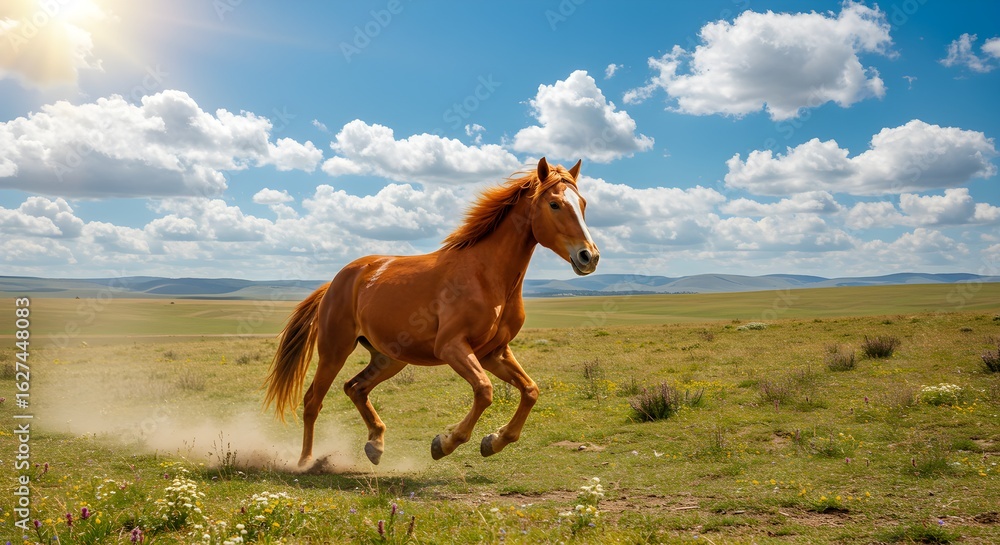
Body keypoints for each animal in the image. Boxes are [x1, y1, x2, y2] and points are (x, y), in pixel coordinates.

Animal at [263, 157, 600, 467]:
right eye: (554, 204)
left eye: (583, 203)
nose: (589, 256)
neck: (486, 276)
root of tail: (336, 281)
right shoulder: (452, 347)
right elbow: (485, 390)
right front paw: (445, 443)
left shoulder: (494, 352)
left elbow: (530, 390)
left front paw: (494, 441)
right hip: (335, 349)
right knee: (313, 401)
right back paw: (307, 461)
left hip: (389, 357)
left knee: (355, 388)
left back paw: (375, 445)